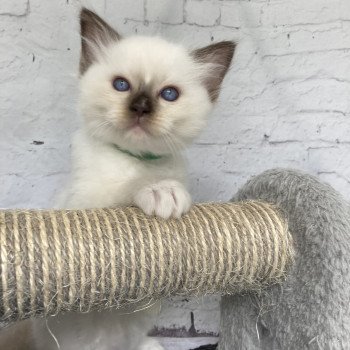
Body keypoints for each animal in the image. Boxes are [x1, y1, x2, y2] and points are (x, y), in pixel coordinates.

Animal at [29, 8, 235, 350]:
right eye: (121, 85)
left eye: (169, 94)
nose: (140, 107)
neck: (134, 160)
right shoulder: (82, 208)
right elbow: (126, 189)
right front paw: (160, 192)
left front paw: (171, 191)